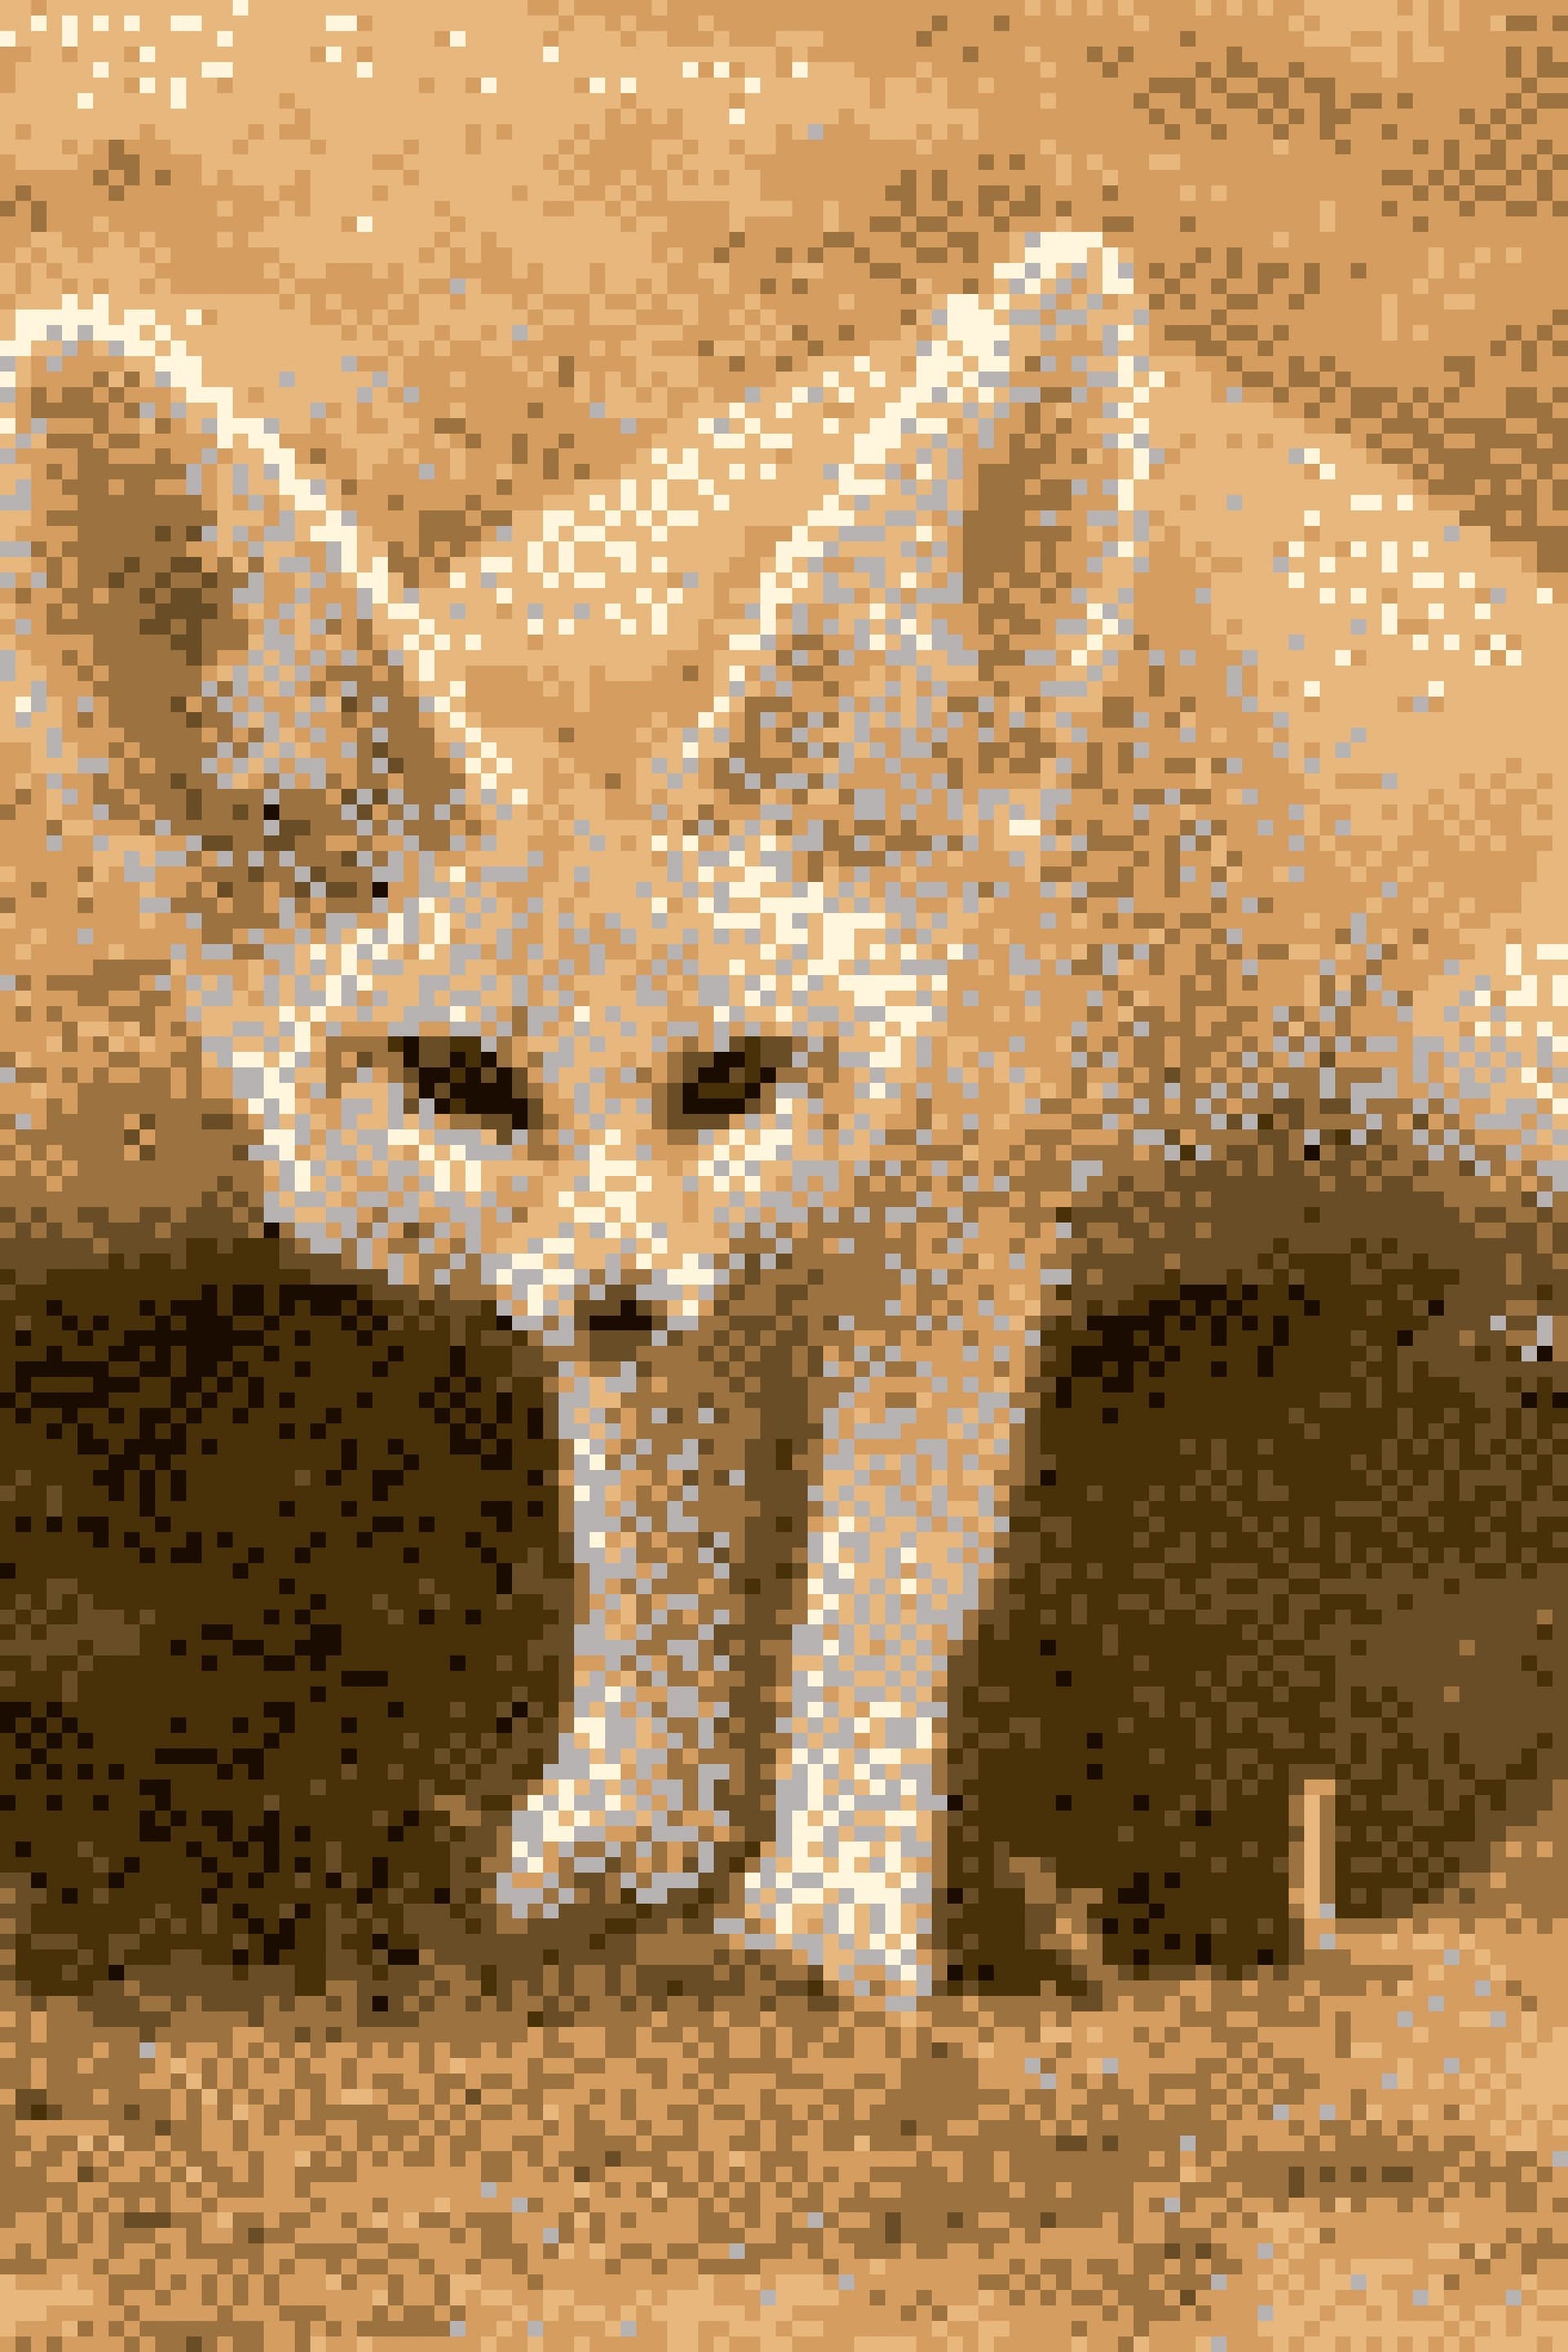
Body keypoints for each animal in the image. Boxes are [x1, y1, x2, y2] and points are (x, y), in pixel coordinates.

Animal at [2, 229, 1561, 2000]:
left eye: (734, 1074)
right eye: (461, 1079)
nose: (617, 1301)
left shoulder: (947, 1250)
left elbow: (873, 1591)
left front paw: (835, 1900)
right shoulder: (663, 1322)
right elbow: (648, 1558)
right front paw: (636, 1821)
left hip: (1468, 1095)